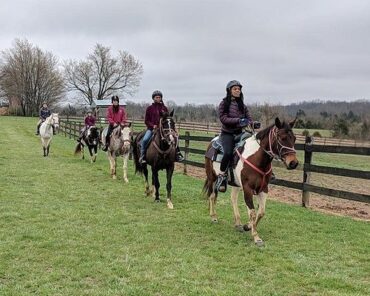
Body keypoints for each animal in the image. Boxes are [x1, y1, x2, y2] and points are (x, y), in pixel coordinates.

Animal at [204, 117, 300, 246]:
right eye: (282, 138)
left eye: (294, 138)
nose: (293, 163)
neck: (256, 159)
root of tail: (212, 142)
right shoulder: (248, 188)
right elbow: (253, 212)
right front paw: (256, 237)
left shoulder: (263, 189)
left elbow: (261, 212)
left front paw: (248, 226)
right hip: (212, 177)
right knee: (212, 195)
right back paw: (213, 217)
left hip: (236, 184)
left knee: (233, 199)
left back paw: (238, 223)